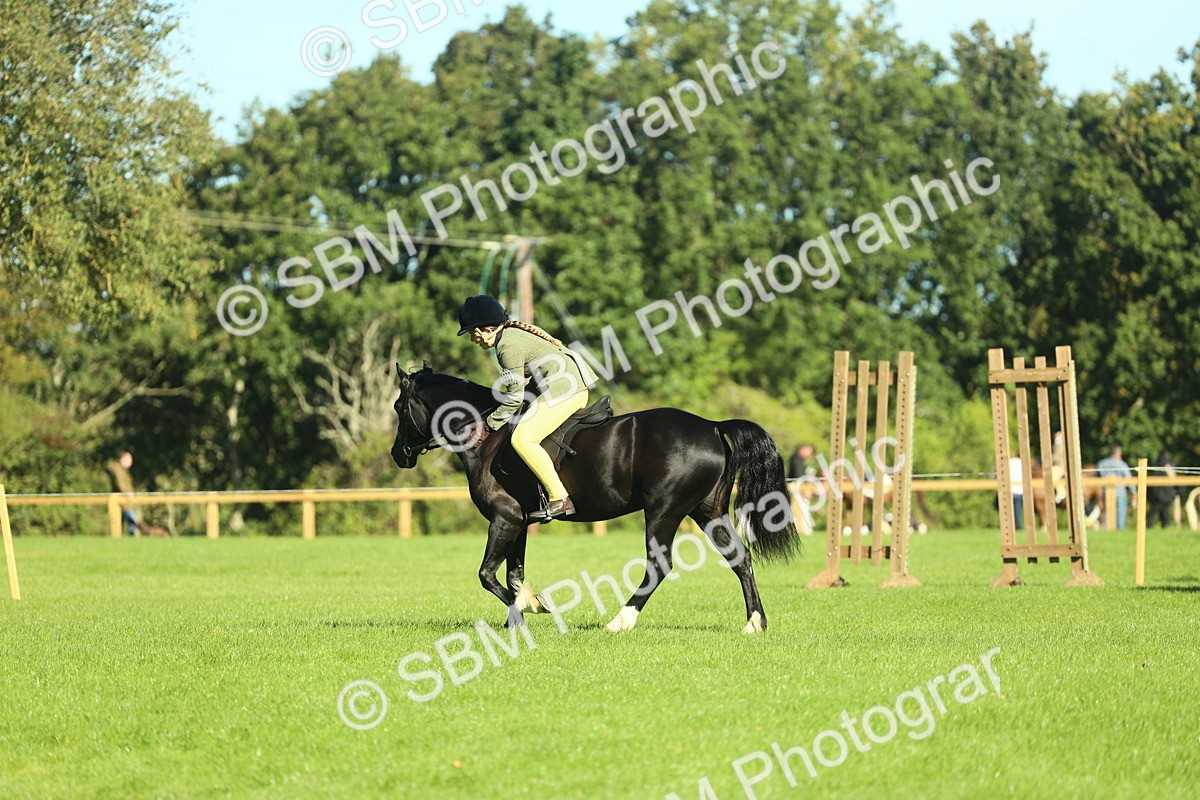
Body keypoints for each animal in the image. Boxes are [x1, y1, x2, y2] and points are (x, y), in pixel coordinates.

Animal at [390, 364, 800, 634]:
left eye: (397, 408)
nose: (398, 455)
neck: (485, 437)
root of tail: (713, 426)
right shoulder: (519, 522)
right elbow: (513, 575)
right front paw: (520, 616)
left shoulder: (504, 518)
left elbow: (488, 575)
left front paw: (534, 607)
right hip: (707, 511)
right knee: (740, 558)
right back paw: (754, 623)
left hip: (664, 511)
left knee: (659, 565)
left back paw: (621, 621)